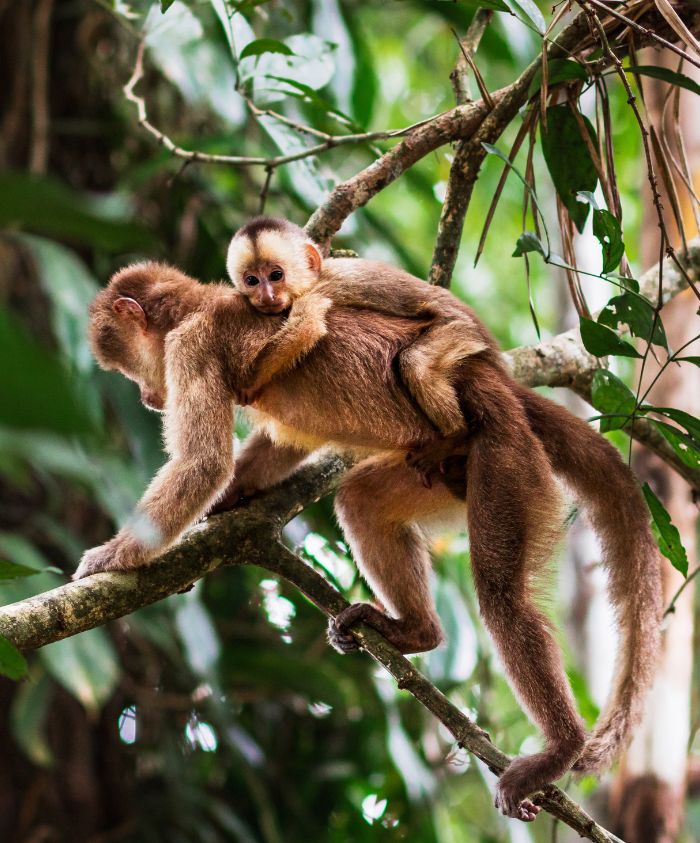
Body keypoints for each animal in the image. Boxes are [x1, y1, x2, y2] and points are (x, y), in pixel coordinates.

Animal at [78, 261, 662, 823]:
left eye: (129, 369)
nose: (146, 397)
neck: (203, 303)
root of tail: (496, 385)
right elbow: (275, 447)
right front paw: (225, 505)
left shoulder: (191, 348)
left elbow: (203, 464)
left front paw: (114, 555)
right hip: (446, 470)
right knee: (360, 499)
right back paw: (417, 632)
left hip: (506, 454)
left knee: (502, 597)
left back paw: (561, 747)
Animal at [226, 216, 490, 446]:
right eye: (252, 280)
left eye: (276, 275)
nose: (266, 296)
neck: (313, 279)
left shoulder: (321, 290)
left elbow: (306, 329)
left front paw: (247, 384)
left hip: (461, 332)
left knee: (415, 363)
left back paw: (455, 435)